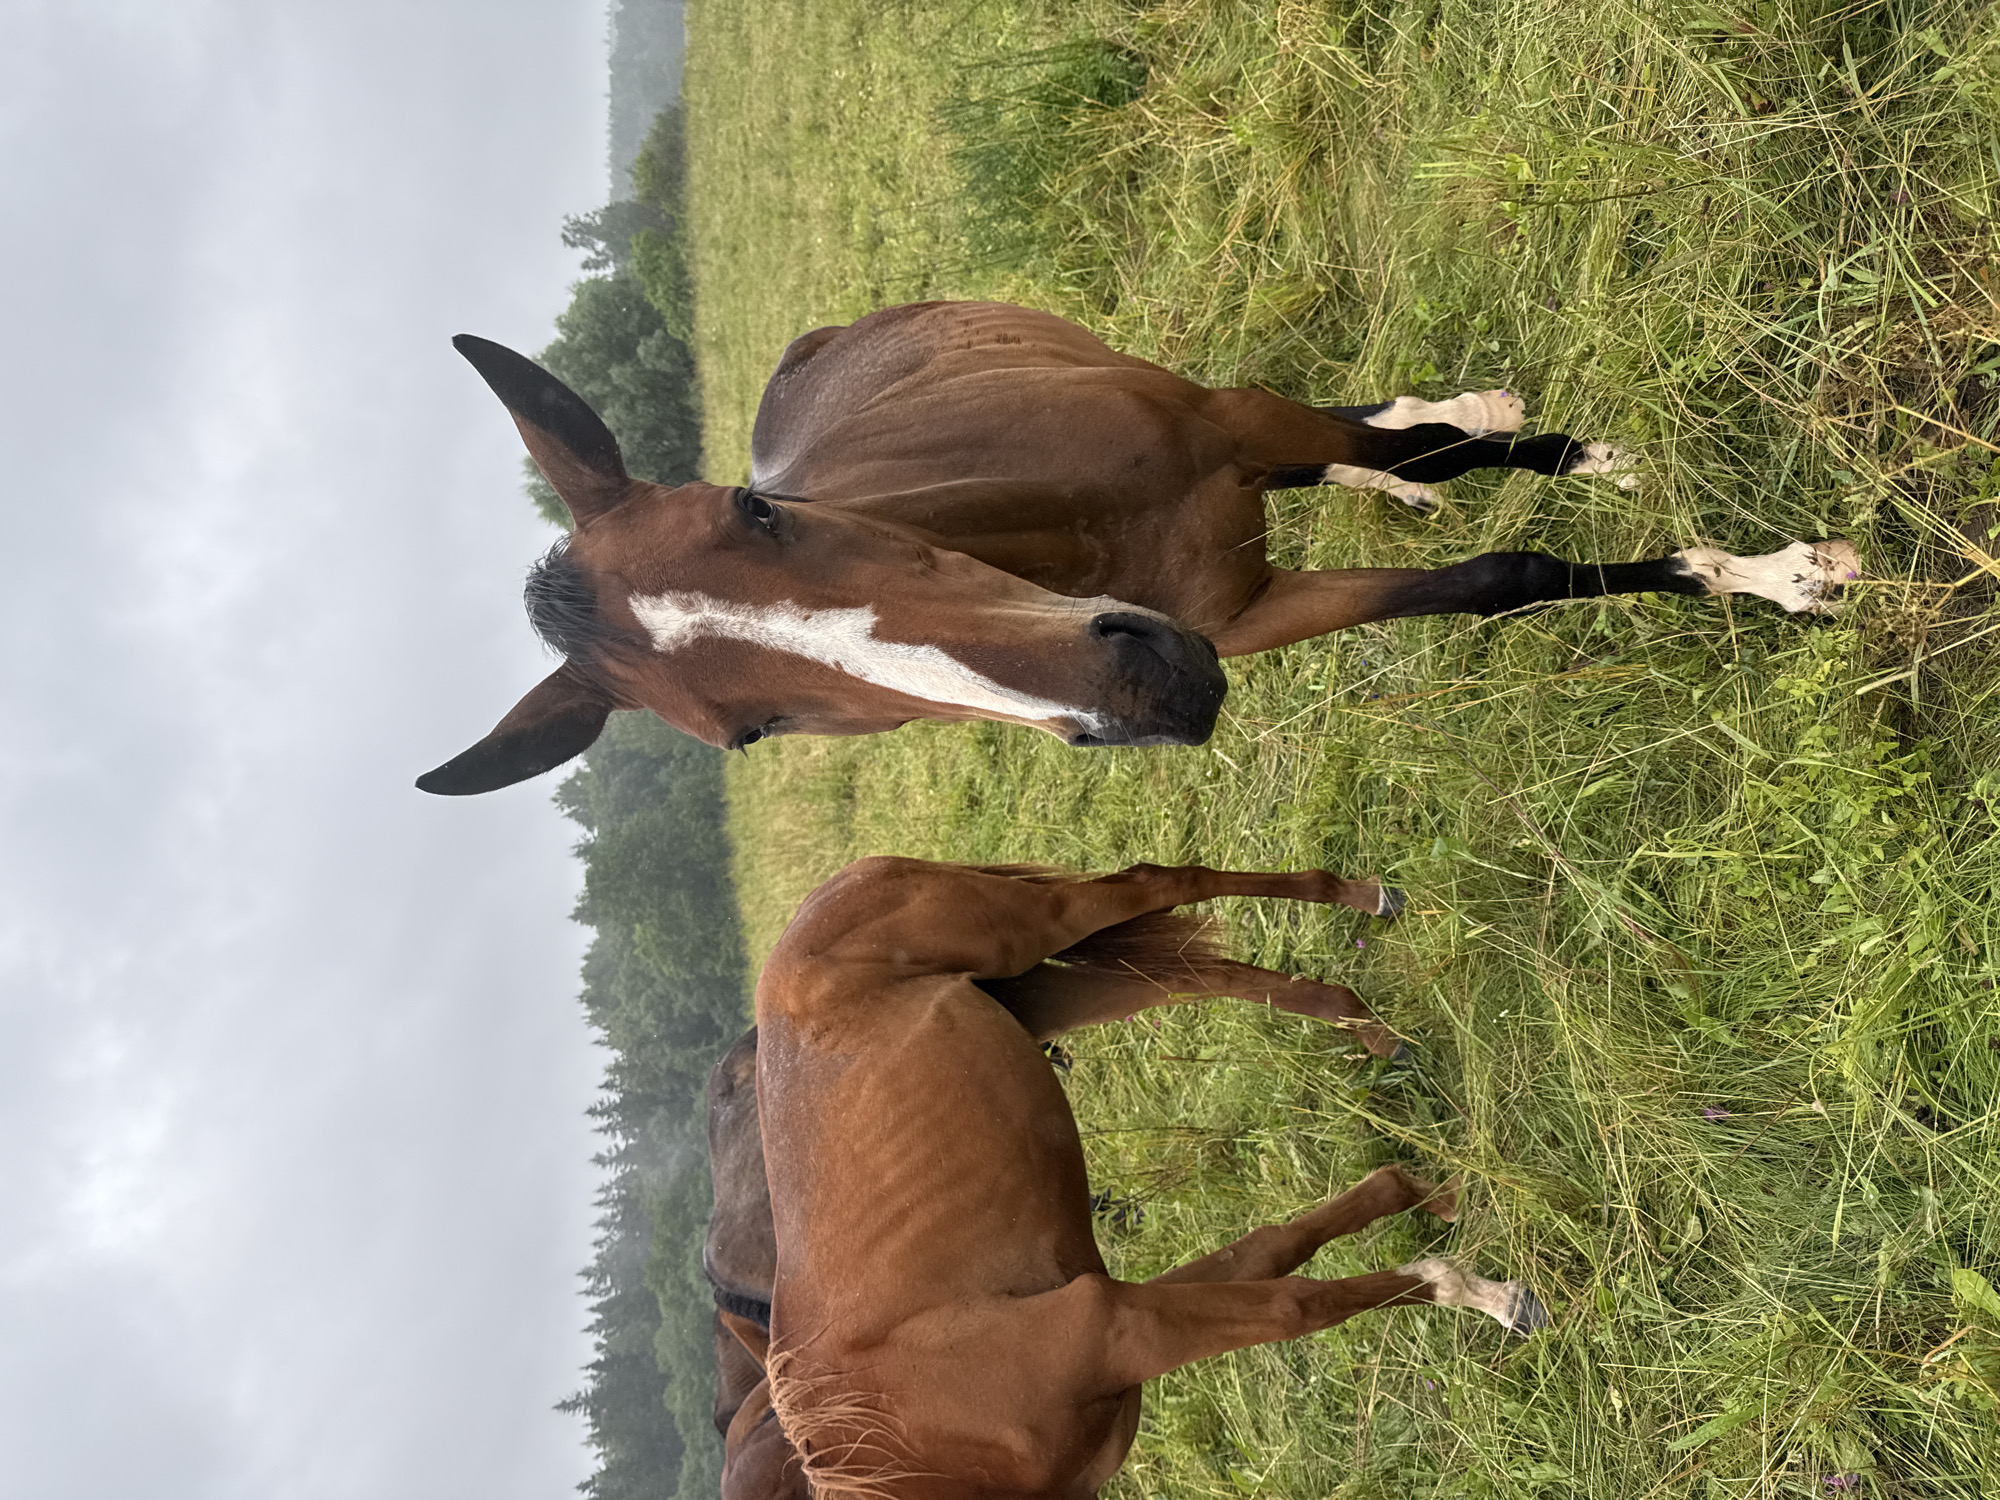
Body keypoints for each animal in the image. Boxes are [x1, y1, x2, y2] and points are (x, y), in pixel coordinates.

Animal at [417, 300, 1858, 794]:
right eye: (752, 735)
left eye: (753, 510)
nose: (1146, 691)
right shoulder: (1250, 613)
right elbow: (1477, 576)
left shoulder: (1235, 426)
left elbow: (1473, 512)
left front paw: (1770, 575)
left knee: (1390, 441)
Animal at [751, 855, 1546, 1499]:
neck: (921, 1437)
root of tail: (833, 891)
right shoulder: (1123, 1311)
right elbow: (1276, 1251)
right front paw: (1428, 1204)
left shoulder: (1114, 1324)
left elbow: (1298, 1305)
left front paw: (1490, 1292)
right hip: (1045, 993)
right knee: (1196, 978)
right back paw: (1369, 1025)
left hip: (1031, 931)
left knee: (1163, 882)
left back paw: (1362, 902)